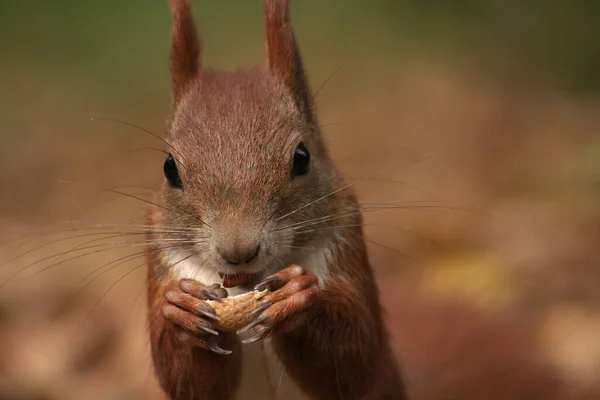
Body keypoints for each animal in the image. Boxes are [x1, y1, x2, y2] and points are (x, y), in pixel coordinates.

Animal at [144, 0, 576, 400]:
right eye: (169, 168)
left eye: (302, 157)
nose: (238, 251)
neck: (245, 286)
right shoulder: (160, 257)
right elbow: (187, 381)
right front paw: (178, 311)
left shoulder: (346, 240)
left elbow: (355, 361)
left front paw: (300, 298)